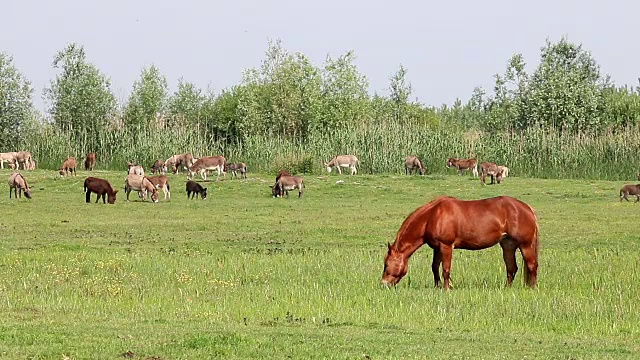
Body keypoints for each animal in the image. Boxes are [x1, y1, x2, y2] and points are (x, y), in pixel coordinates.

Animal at [380, 195, 540, 292]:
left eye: (386, 265)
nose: (383, 284)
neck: (432, 216)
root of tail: (528, 209)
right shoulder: (437, 248)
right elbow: (434, 267)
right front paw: (438, 286)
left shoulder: (446, 246)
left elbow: (445, 269)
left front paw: (447, 288)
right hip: (508, 245)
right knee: (511, 268)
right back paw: (506, 288)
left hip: (525, 245)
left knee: (532, 265)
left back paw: (531, 288)